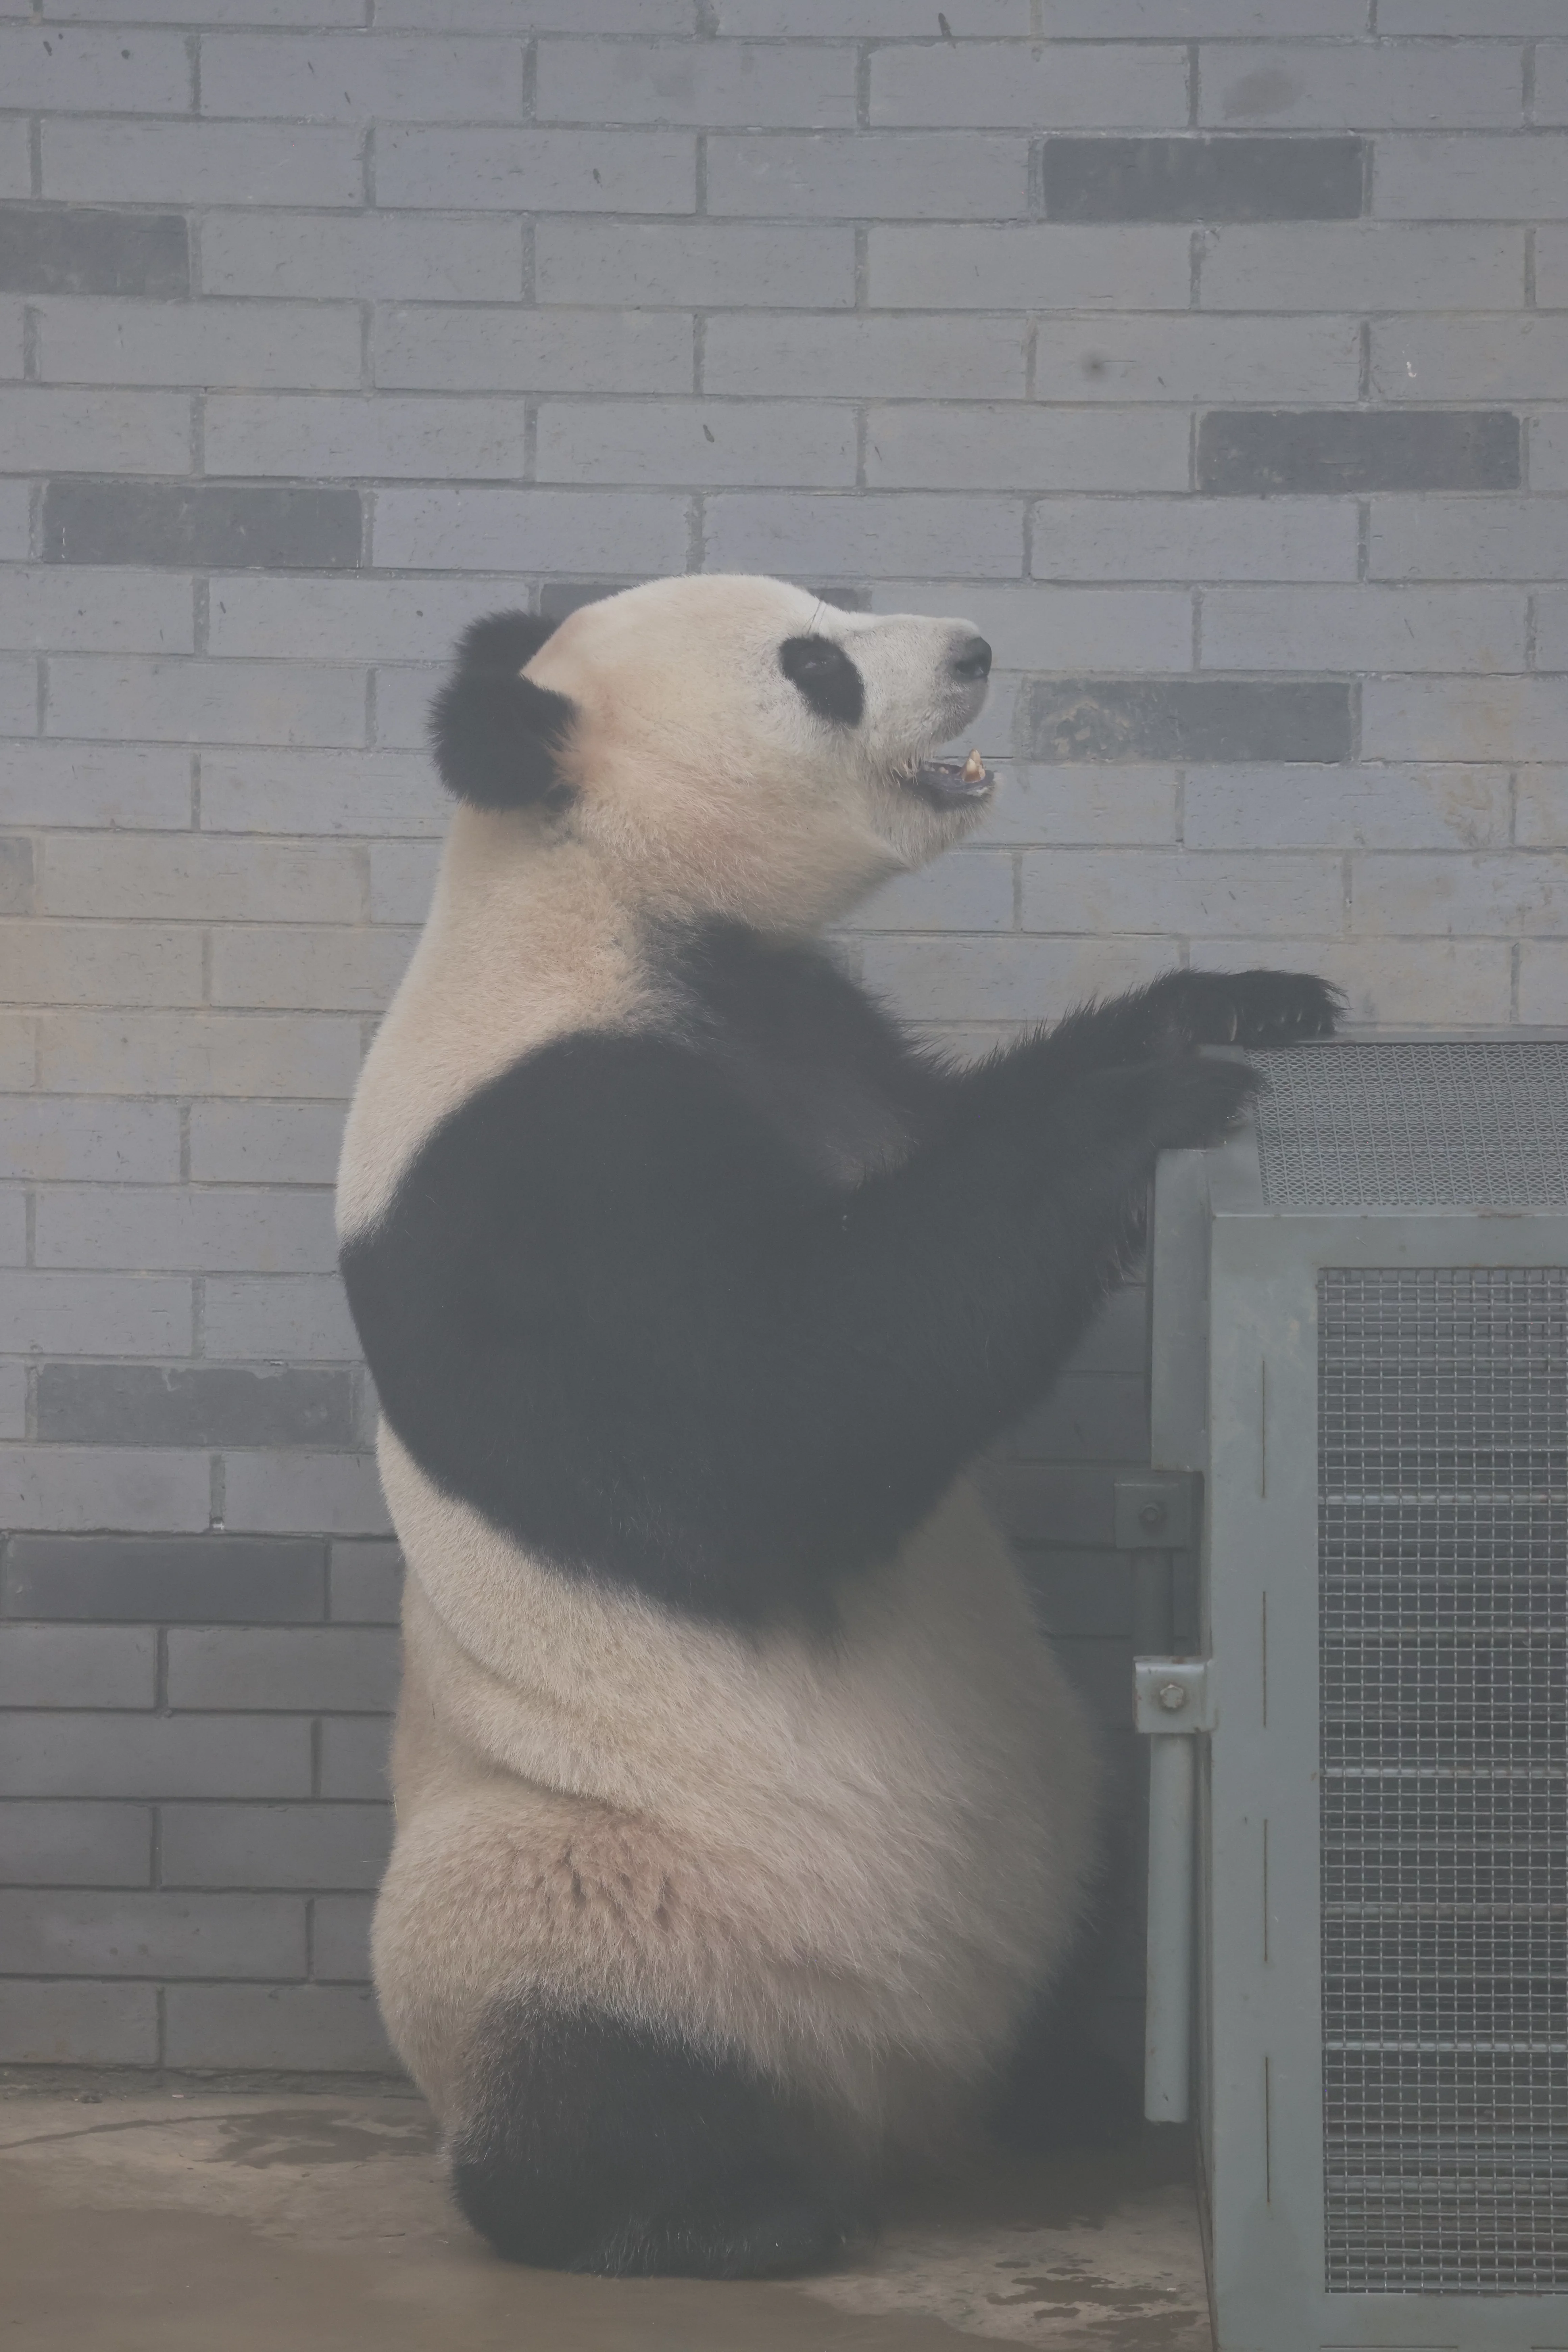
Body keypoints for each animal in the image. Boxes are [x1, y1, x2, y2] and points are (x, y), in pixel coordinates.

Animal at [335, 572, 1338, 2282]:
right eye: (811, 663)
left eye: (840, 596)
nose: (973, 654)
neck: (596, 888)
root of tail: (895, 2095)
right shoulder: (531, 1166)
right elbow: (771, 1417)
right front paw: (1143, 1108)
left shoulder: (821, 1033)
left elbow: (941, 1144)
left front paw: (1241, 1003)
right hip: (580, 1893)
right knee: (595, 2067)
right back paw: (719, 2209)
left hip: (1053, 1802)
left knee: (1091, 1894)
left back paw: (1060, 2087)